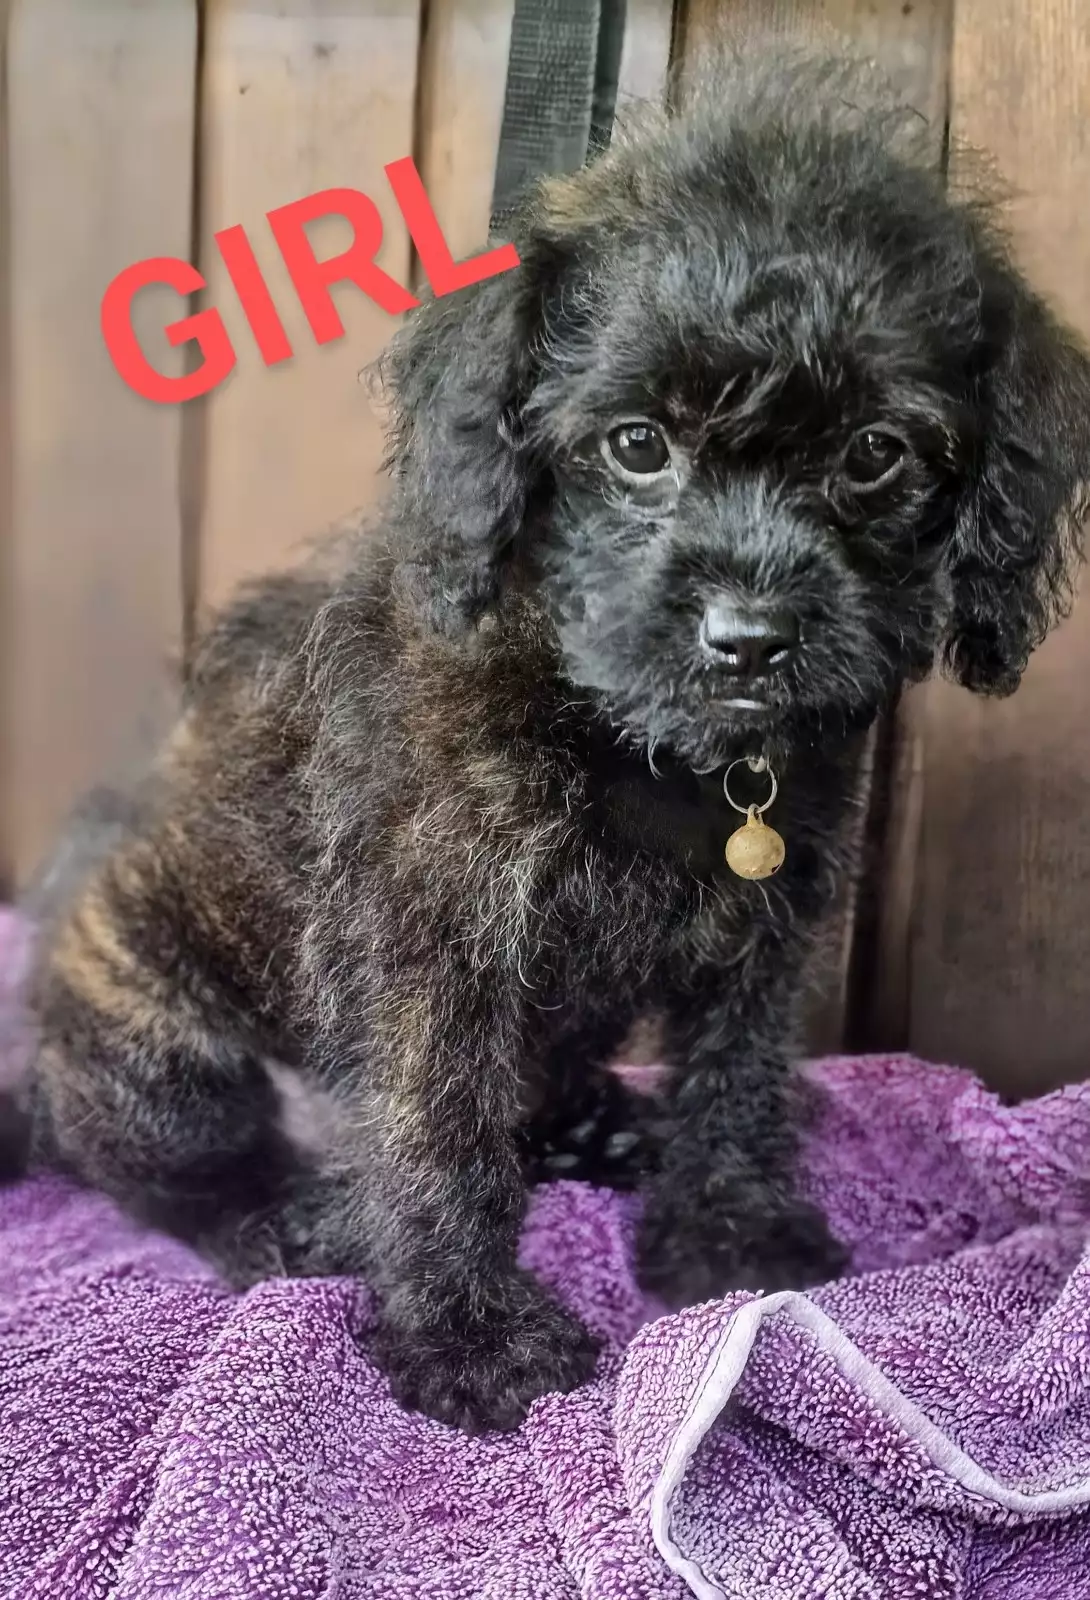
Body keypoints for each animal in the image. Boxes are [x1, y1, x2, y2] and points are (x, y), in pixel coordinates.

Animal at [23, 52, 1090, 1433]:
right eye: (636, 443)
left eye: (875, 454)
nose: (749, 639)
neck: (637, 740)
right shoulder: (434, 947)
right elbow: (437, 1138)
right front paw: (468, 1335)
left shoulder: (769, 924)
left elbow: (737, 1076)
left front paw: (726, 1231)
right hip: (153, 1026)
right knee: (160, 1163)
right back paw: (281, 1212)